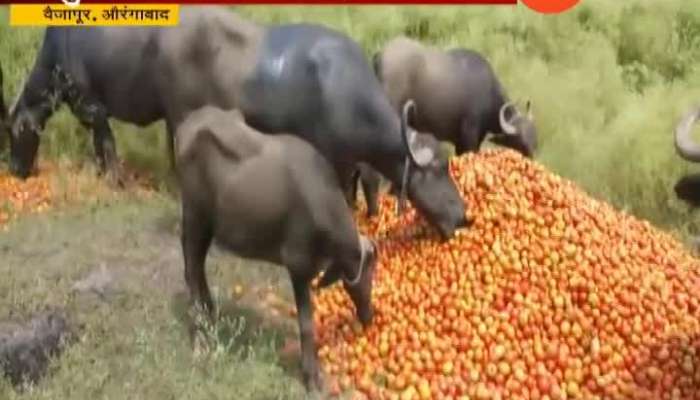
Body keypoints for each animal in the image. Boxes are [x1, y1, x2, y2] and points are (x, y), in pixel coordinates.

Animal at [8, 6, 468, 239]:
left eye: (447, 166)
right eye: (437, 171)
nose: (464, 216)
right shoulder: (94, 109)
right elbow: (105, 146)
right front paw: (113, 179)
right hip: (180, 115)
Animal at [348, 37, 536, 217]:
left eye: (534, 138)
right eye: (521, 141)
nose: (532, 160)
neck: (489, 93)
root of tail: (380, 57)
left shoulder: (460, 141)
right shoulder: (469, 136)